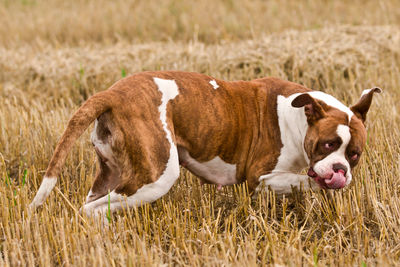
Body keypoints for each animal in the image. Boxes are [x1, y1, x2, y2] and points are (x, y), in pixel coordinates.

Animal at [29, 71, 380, 220]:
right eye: (327, 144)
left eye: (354, 155)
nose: (340, 170)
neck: (299, 116)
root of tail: (113, 93)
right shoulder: (261, 177)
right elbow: (305, 181)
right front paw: (322, 184)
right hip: (156, 177)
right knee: (90, 209)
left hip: (112, 171)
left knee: (95, 202)